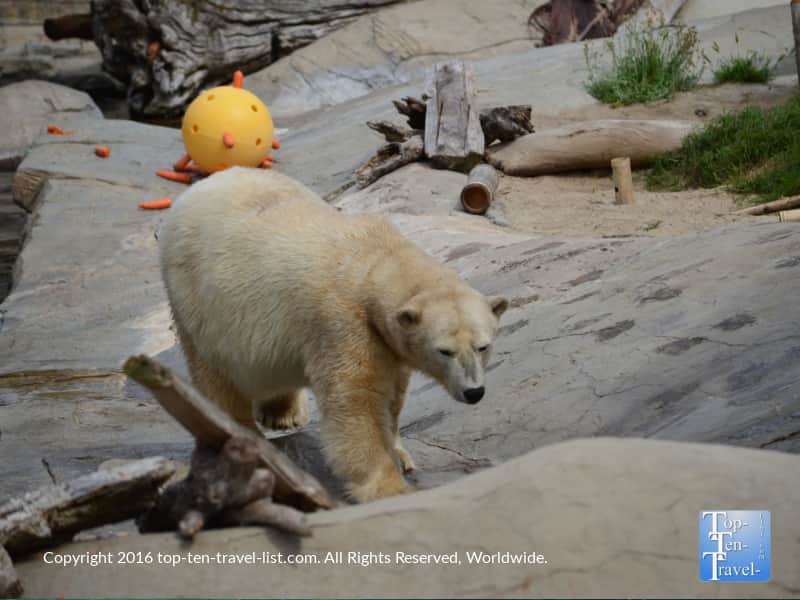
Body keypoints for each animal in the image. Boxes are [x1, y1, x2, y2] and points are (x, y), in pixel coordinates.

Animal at [158, 167, 508, 502]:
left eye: (483, 347)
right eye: (444, 351)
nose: (474, 392)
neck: (372, 261)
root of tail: (198, 188)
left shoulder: (386, 342)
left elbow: (394, 395)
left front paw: (400, 454)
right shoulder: (343, 324)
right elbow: (356, 401)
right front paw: (391, 487)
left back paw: (282, 414)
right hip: (199, 301)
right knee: (216, 375)